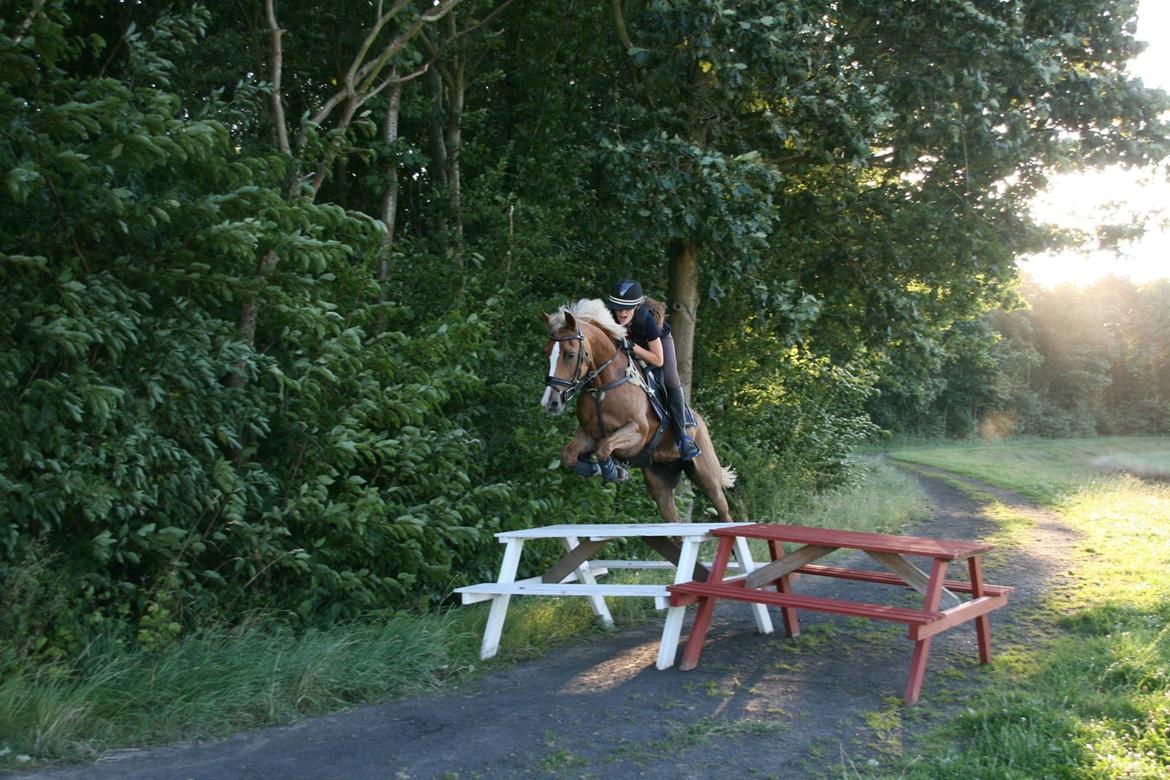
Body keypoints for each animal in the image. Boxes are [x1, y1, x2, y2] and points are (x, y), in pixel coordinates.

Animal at [535, 299, 734, 523]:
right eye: (546, 352)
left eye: (569, 355)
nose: (551, 402)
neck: (603, 387)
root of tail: (699, 420)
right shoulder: (589, 433)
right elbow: (569, 453)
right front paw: (595, 468)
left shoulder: (637, 432)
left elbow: (604, 447)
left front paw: (612, 471)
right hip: (660, 481)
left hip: (707, 476)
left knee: (723, 510)